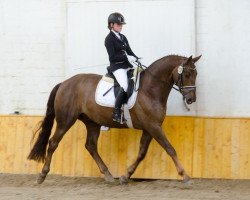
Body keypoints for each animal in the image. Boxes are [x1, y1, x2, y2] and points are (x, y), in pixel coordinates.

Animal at [28, 54, 202, 184]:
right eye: (187, 74)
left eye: (196, 74)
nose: (191, 99)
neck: (150, 89)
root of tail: (64, 83)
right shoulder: (153, 126)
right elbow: (170, 148)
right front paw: (185, 176)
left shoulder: (150, 127)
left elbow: (142, 153)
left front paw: (126, 176)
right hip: (66, 120)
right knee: (53, 143)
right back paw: (42, 175)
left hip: (92, 122)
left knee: (90, 146)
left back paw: (108, 175)